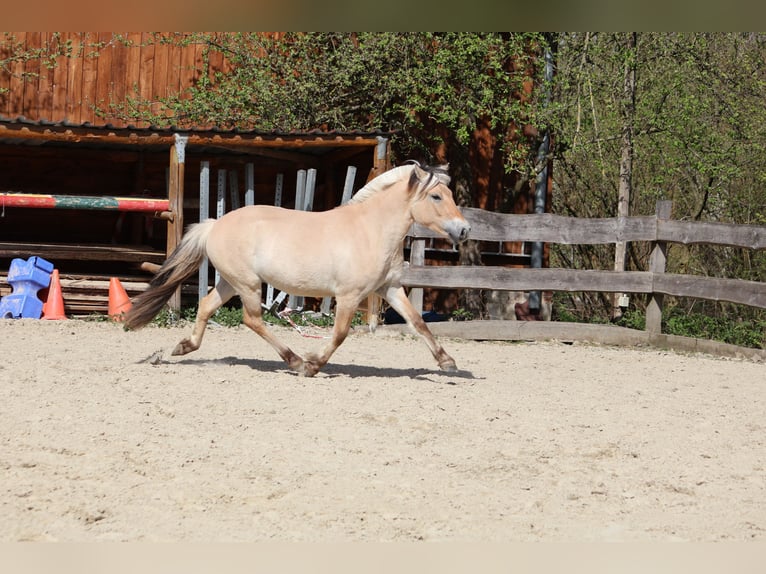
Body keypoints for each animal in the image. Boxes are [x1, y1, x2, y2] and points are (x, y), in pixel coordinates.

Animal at [124, 161, 471, 377]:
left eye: (450, 195)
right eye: (436, 196)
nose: (465, 230)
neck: (370, 230)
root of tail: (214, 225)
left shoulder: (390, 288)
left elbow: (418, 323)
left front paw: (449, 362)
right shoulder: (349, 296)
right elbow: (340, 334)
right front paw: (314, 364)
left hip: (232, 282)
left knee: (206, 306)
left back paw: (184, 347)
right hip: (248, 285)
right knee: (253, 320)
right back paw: (295, 361)